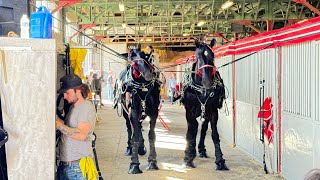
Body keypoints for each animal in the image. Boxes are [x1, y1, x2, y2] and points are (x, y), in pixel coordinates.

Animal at [117, 45, 160, 174]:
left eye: (145, 55)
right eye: (131, 56)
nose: (148, 73)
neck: (143, 89)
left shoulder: (154, 112)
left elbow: (152, 135)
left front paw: (152, 162)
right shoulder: (133, 112)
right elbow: (134, 135)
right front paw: (134, 165)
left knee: (139, 127)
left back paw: (141, 148)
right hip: (126, 113)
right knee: (130, 129)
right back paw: (129, 148)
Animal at [181, 38, 229, 171]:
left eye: (213, 55)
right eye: (198, 56)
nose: (207, 82)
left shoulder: (212, 111)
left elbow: (214, 135)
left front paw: (220, 161)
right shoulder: (189, 111)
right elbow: (191, 132)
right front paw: (188, 157)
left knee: (202, 128)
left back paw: (201, 149)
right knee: (193, 128)